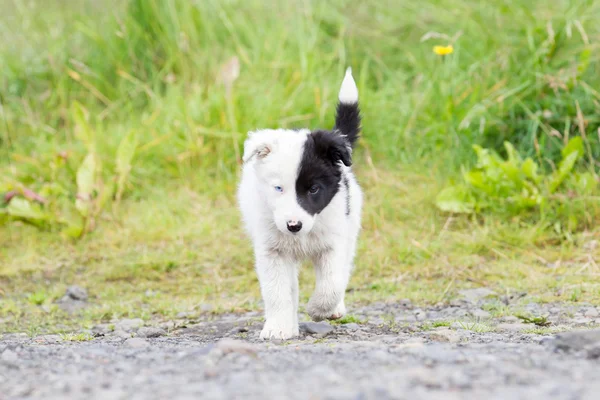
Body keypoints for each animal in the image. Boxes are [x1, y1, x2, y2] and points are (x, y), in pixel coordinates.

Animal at [238, 67, 360, 340]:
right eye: (278, 189)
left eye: (314, 189)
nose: (294, 226)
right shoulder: (271, 251)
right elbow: (277, 292)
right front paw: (278, 327)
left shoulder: (333, 243)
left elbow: (332, 283)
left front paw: (318, 309)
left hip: (352, 225)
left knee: (344, 270)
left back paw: (335, 309)